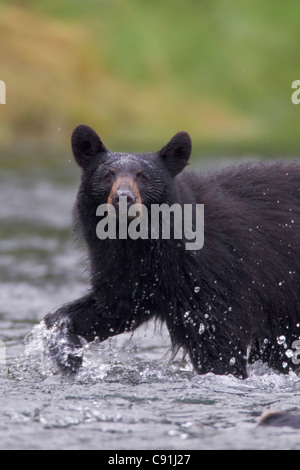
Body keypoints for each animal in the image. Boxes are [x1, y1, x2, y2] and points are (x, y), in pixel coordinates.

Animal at [43, 125, 300, 378]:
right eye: (107, 176)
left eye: (143, 177)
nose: (123, 198)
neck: (139, 243)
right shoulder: (123, 270)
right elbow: (110, 306)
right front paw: (67, 354)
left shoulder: (212, 273)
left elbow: (217, 336)